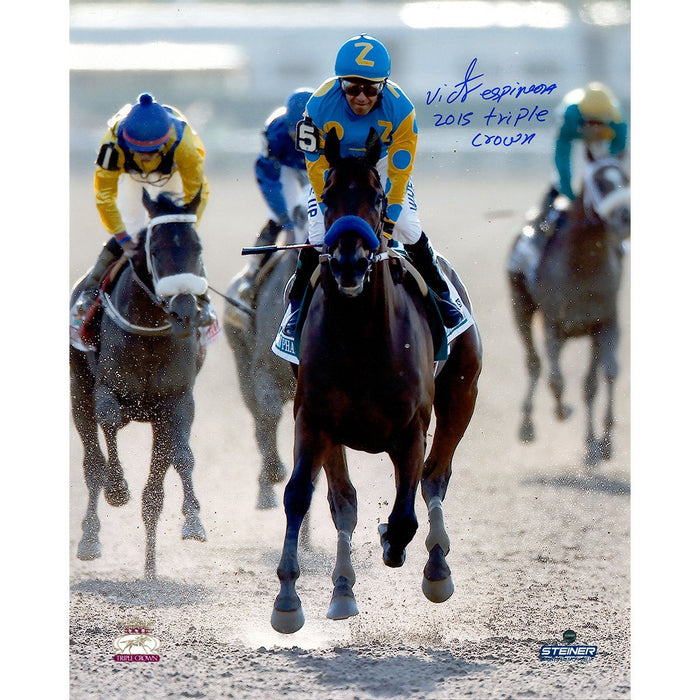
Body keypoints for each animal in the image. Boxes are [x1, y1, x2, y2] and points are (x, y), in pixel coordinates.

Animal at [73, 191, 213, 580]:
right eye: (156, 250)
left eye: (198, 247)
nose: (185, 310)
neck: (149, 332)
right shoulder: (105, 389)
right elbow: (108, 421)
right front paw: (118, 489)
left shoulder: (177, 402)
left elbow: (182, 456)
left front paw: (194, 521)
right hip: (77, 391)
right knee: (92, 463)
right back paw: (90, 540)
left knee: (154, 493)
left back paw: (150, 569)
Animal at [270, 130, 482, 636]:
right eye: (327, 197)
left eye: (378, 197)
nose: (349, 262)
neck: (361, 340)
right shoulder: (312, 420)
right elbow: (300, 495)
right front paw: (287, 599)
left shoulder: (411, 429)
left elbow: (406, 514)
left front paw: (395, 542)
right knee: (343, 501)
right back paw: (343, 591)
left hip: (462, 394)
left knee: (435, 478)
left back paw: (437, 567)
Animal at [506, 156, 632, 468]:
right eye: (600, 182)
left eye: (626, 178)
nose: (626, 217)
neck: (583, 262)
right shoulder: (554, 322)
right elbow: (556, 380)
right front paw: (563, 411)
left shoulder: (604, 323)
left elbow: (599, 379)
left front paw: (600, 445)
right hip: (521, 310)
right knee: (535, 363)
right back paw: (527, 425)